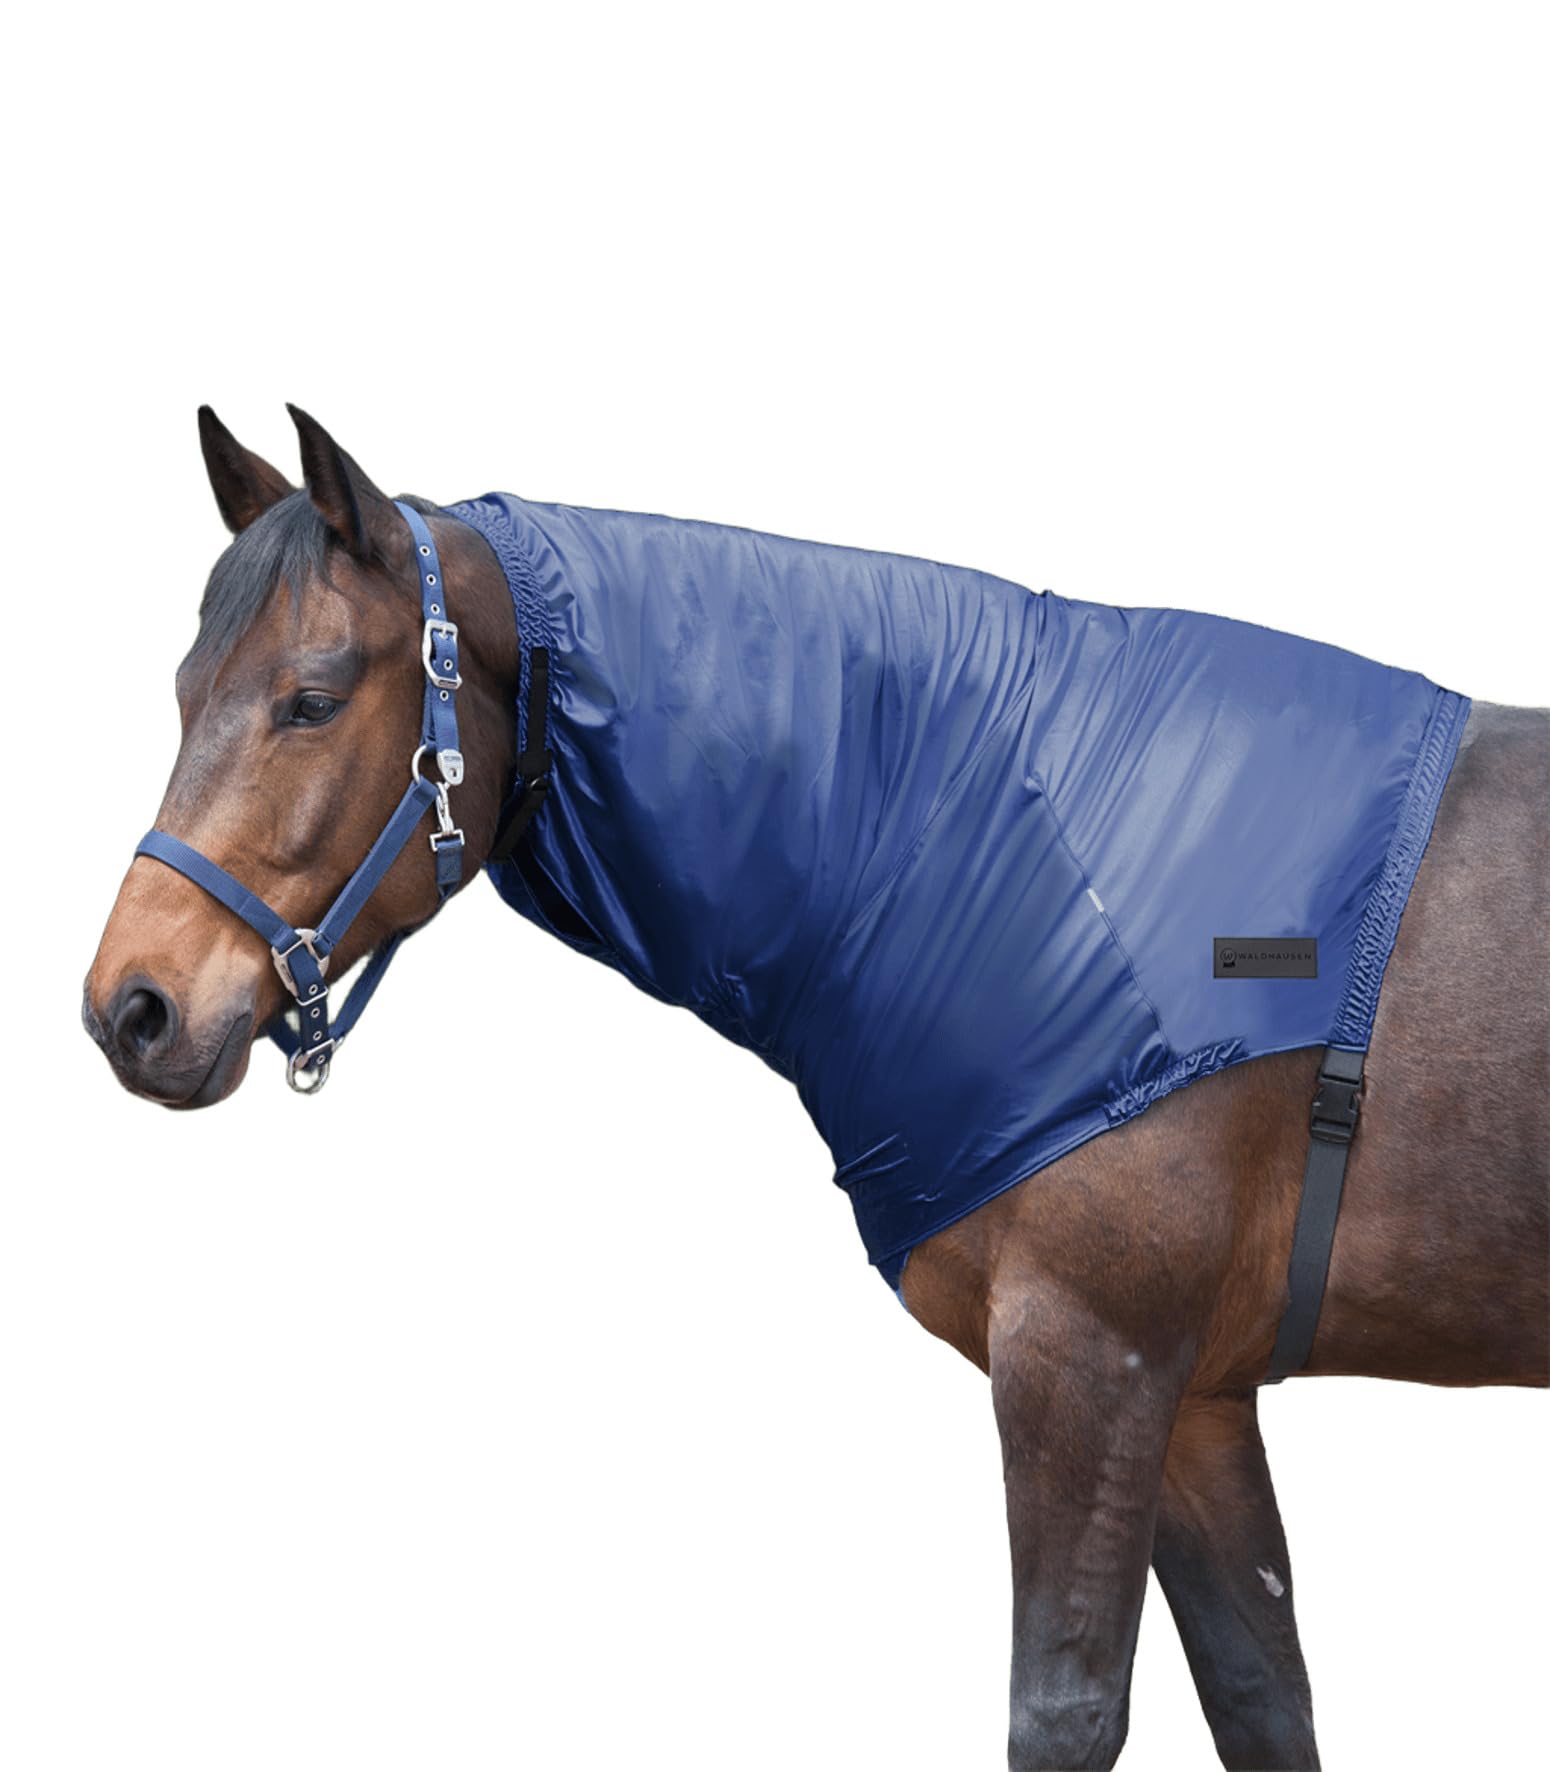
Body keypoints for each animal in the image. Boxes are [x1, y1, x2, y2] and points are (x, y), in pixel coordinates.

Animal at [84, 406, 1548, 1771]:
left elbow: (1064, 1711)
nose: (131, 1008)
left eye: (313, 697)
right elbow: (1260, 1696)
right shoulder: (1193, 1396)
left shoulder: (1090, 1359)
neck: (1012, 830)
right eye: (183, 687)